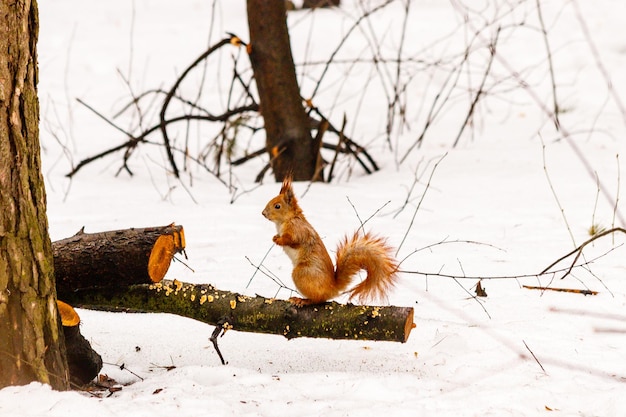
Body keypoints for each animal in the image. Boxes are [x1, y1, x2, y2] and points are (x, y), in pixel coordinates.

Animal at [260, 174, 398, 304]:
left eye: (277, 206)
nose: (263, 213)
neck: (285, 221)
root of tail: (332, 288)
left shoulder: (298, 230)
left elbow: (292, 241)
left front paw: (279, 240)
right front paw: (275, 237)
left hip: (302, 273)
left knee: (318, 299)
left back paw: (302, 300)